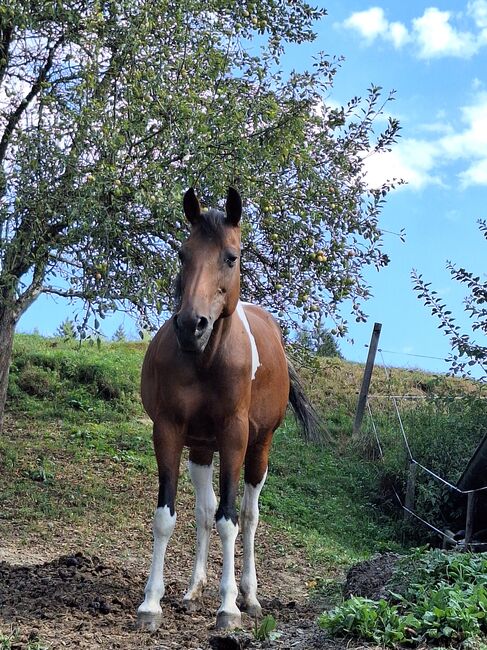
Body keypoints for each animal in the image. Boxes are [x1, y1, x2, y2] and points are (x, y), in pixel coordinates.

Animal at [137, 186, 320, 628]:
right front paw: (152, 602)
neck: (205, 360)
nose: (191, 325)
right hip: (202, 450)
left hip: (258, 447)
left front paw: (229, 606)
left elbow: (230, 520)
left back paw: (249, 596)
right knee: (204, 512)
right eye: (183, 254)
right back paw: (192, 590)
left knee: (250, 517)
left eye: (231, 256)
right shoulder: (168, 432)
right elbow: (167, 516)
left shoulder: (234, 438)